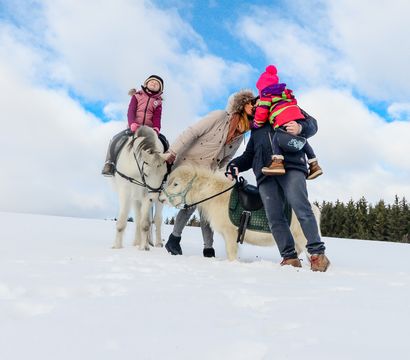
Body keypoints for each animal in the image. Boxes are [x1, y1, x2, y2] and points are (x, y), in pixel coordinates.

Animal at [160, 166, 320, 262]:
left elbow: (231, 253)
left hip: (303, 238)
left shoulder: (230, 233)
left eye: (176, 184)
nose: (161, 198)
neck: (217, 195)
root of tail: (315, 209)